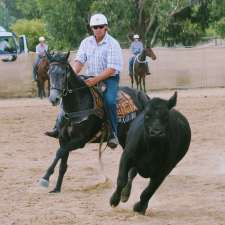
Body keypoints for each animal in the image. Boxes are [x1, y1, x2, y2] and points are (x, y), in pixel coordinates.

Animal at [39, 51, 150, 192]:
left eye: (63, 73)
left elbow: (60, 152)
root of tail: (143, 96)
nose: (54, 98)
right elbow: (62, 163)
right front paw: (57, 188)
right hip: (124, 138)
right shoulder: (63, 138)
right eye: (49, 72)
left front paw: (45, 178)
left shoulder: (80, 141)